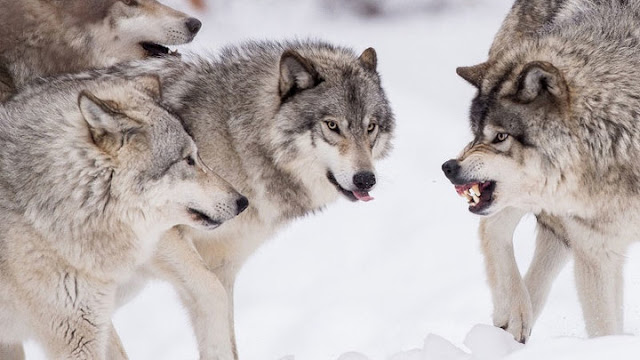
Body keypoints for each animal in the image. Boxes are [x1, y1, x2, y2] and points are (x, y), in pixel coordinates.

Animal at [95, 40, 396, 358]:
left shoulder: (223, 264)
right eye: (332, 125)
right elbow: (212, 297)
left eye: (371, 127)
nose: (365, 179)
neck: (236, 141)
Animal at [444, 0, 640, 344]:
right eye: (479, 132)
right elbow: (604, 329)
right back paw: (514, 314)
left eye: (500, 136)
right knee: (492, 225)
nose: (449, 168)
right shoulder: (598, 250)